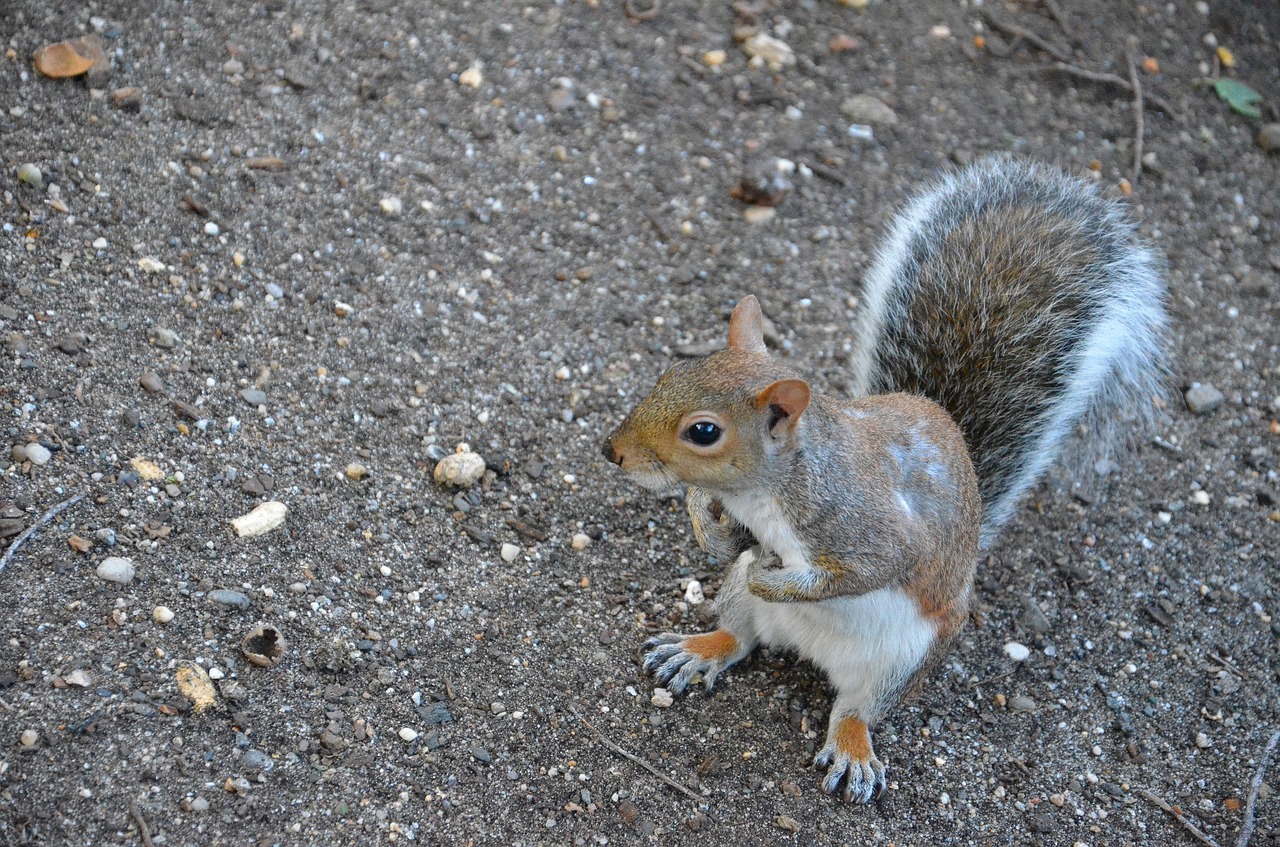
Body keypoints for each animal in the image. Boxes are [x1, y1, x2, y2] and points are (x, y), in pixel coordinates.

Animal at [599, 157, 1172, 803]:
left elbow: (866, 569)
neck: (767, 491)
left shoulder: (863, 525)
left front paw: (778, 578)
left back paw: (850, 742)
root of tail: (810, 651)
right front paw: (708, 527)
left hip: (902, 660)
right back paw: (702, 648)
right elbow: (714, 515)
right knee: (741, 636)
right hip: (742, 604)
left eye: (703, 431)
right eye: (671, 371)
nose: (612, 451)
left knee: (857, 709)